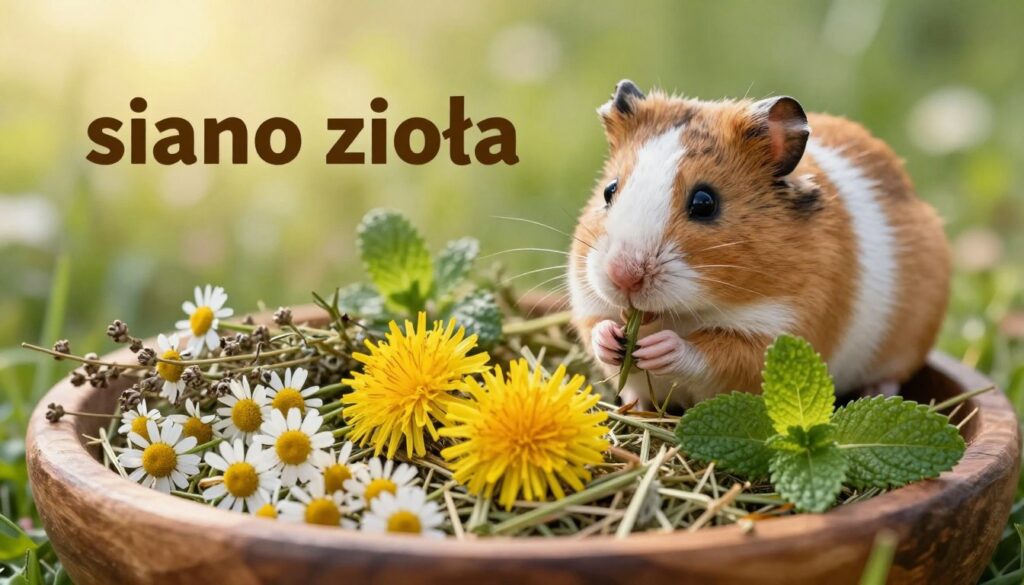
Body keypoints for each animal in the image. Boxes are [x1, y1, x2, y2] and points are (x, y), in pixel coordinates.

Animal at [570, 80, 951, 407]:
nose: (623, 276)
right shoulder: (588, 302)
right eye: (609, 191)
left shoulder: (776, 335)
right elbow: (595, 329)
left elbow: (709, 353)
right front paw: (611, 339)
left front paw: (657, 348)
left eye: (705, 203)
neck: (681, 313)